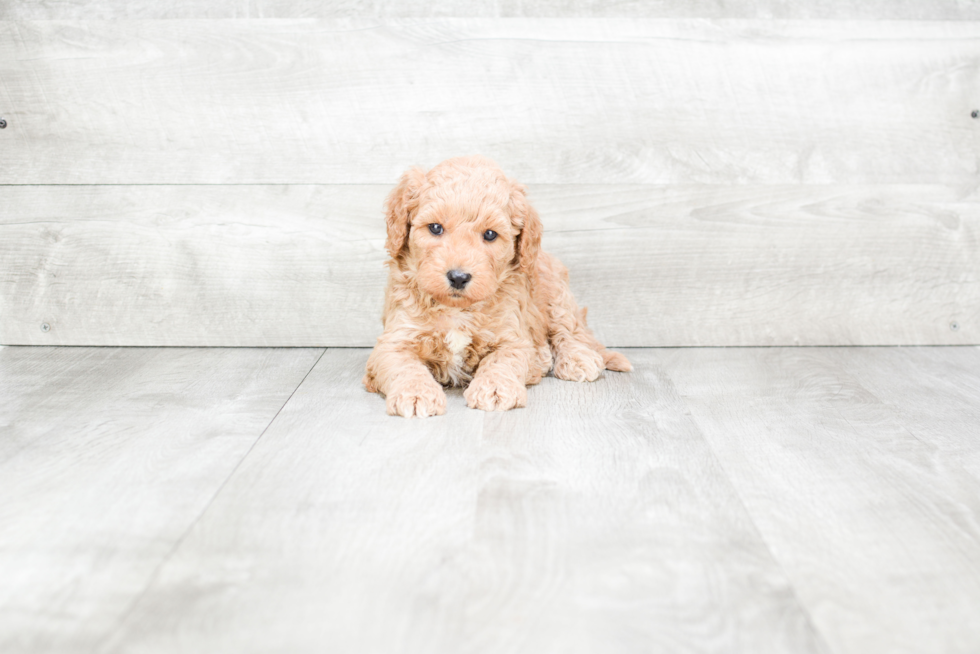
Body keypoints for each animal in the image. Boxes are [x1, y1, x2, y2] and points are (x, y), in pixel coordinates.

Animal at [364, 156, 632, 418]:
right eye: (435, 228)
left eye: (490, 234)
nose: (458, 277)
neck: (457, 311)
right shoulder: (394, 340)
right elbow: (404, 365)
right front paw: (415, 393)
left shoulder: (514, 338)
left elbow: (502, 360)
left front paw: (494, 388)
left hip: (556, 291)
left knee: (570, 330)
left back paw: (578, 359)